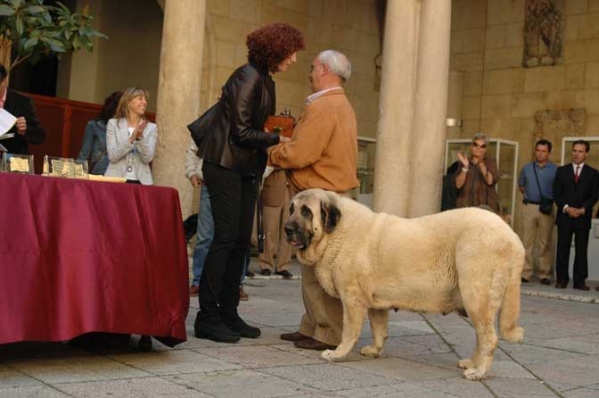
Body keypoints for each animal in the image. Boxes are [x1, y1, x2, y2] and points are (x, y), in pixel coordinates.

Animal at [286, 188, 524, 380]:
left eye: (306, 211)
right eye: (291, 209)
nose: (287, 228)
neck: (336, 232)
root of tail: (512, 238)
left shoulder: (353, 299)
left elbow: (349, 331)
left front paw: (337, 353)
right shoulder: (376, 302)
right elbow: (379, 328)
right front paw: (375, 350)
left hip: (475, 295)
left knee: (489, 338)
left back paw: (478, 372)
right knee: (480, 336)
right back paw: (472, 363)